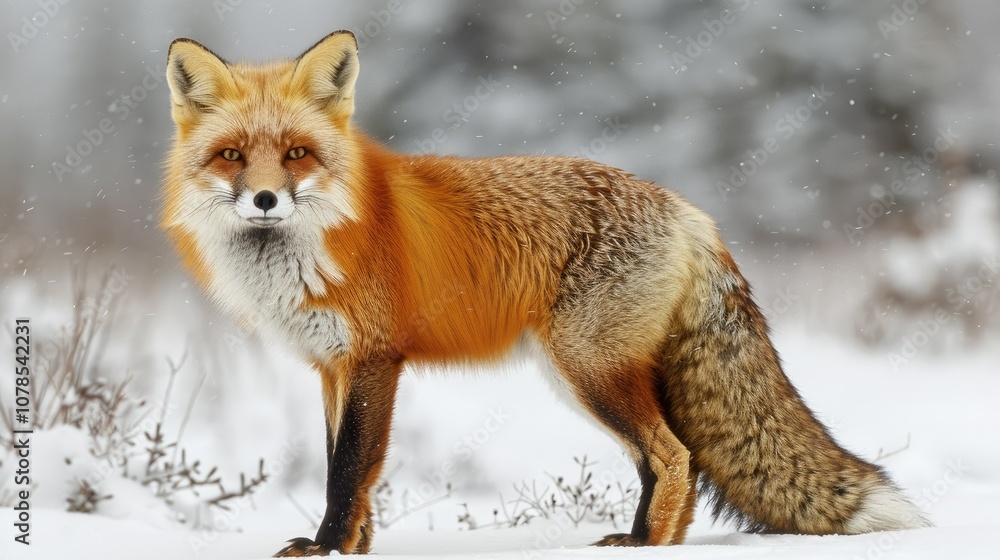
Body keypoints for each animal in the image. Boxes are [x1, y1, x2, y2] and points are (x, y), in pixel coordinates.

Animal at [161, 30, 929, 556]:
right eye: (232, 155)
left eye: (296, 154)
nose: (264, 199)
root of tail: (690, 211)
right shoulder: (332, 365)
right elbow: (349, 470)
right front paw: (351, 548)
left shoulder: (375, 359)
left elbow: (348, 469)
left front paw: (323, 547)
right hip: (590, 373)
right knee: (663, 457)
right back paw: (645, 542)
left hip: (586, 367)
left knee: (674, 455)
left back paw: (647, 547)